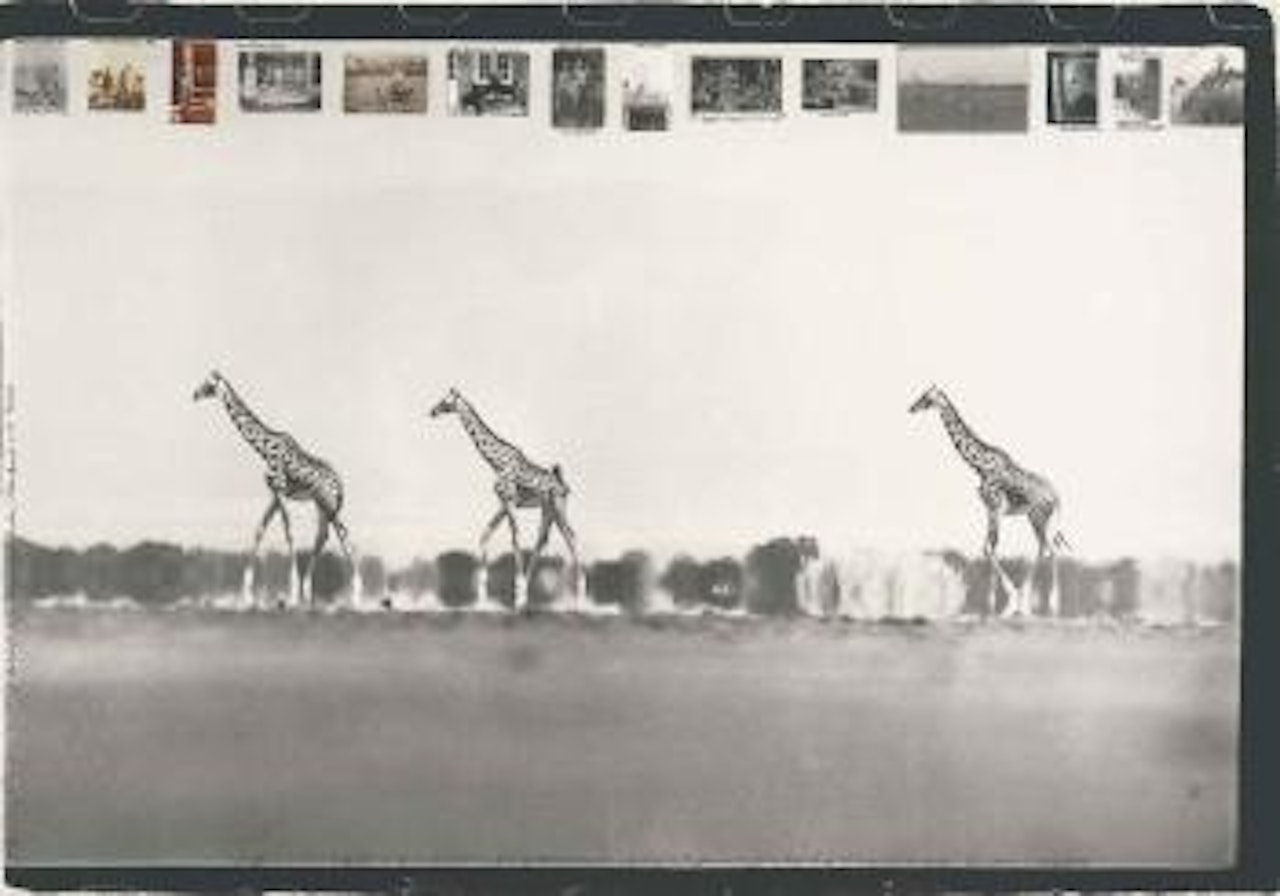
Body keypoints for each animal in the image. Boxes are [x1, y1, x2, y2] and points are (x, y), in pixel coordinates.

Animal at [194, 371, 366, 609]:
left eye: (208, 383)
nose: (194, 394)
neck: (264, 448)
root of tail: (340, 484)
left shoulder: (281, 488)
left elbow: (288, 532)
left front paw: (292, 593)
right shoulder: (274, 493)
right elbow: (260, 530)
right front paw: (247, 595)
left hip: (329, 504)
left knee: (345, 537)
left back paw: (356, 598)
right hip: (320, 505)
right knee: (324, 536)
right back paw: (309, 592)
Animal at [430, 386, 581, 609]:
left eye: (446, 401)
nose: (432, 411)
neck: (496, 461)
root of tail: (563, 484)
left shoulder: (509, 501)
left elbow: (515, 538)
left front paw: (516, 598)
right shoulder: (503, 503)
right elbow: (486, 534)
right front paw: (483, 599)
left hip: (559, 506)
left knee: (572, 538)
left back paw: (580, 601)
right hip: (547, 509)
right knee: (542, 541)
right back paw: (531, 592)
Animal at [911, 384, 1070, 616]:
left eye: (926, 396)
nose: (911, 407)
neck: (979, 465)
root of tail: (1058, 498)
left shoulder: (996, 508)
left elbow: (990, 547)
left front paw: (1001, 602)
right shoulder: (989, 510)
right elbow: (987, 547)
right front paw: (1000, 602)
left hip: (1042, 517)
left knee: (1051, 550)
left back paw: (1051, 604)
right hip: (1035, 518)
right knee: (1044, 548)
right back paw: (1025, 598)